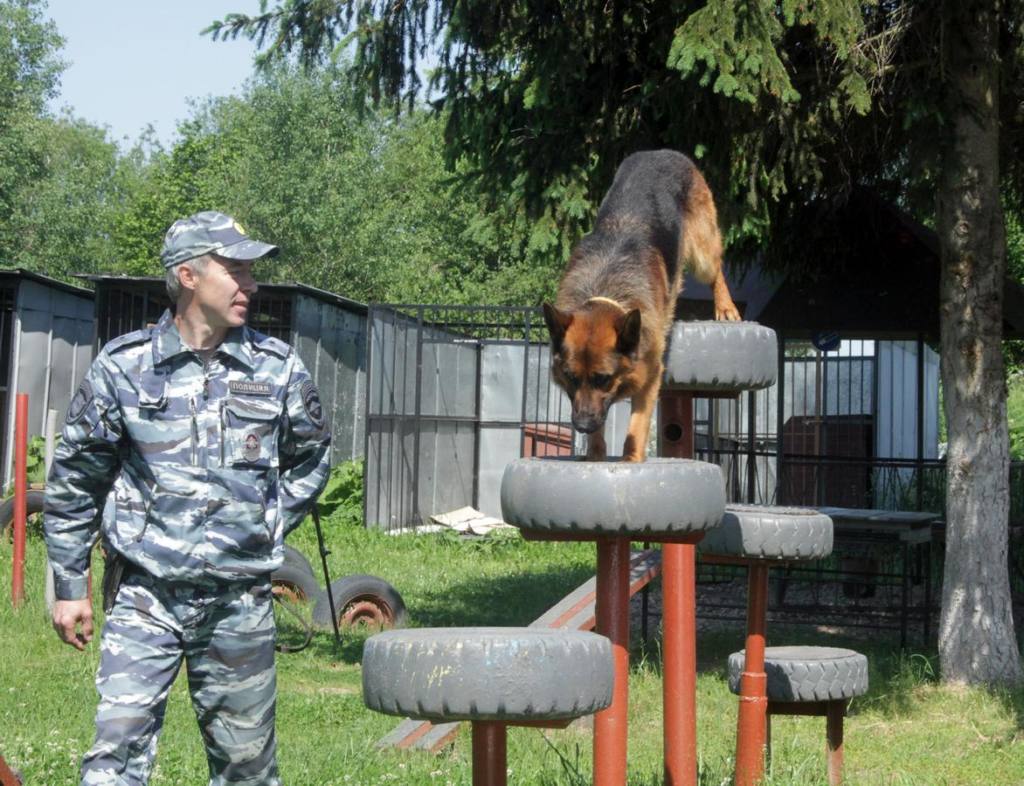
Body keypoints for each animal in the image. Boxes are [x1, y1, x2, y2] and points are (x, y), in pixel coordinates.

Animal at [544, 149, 737, 460]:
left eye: (603, 378)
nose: (582, 426)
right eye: (571, 377)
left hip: (701, 254)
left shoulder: (650, 376)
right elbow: (600, 428)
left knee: (716, 267)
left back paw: (726, 306)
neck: (606, 285)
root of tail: (661, 152)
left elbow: (637, 424)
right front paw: (594, 455)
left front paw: (631, 459)